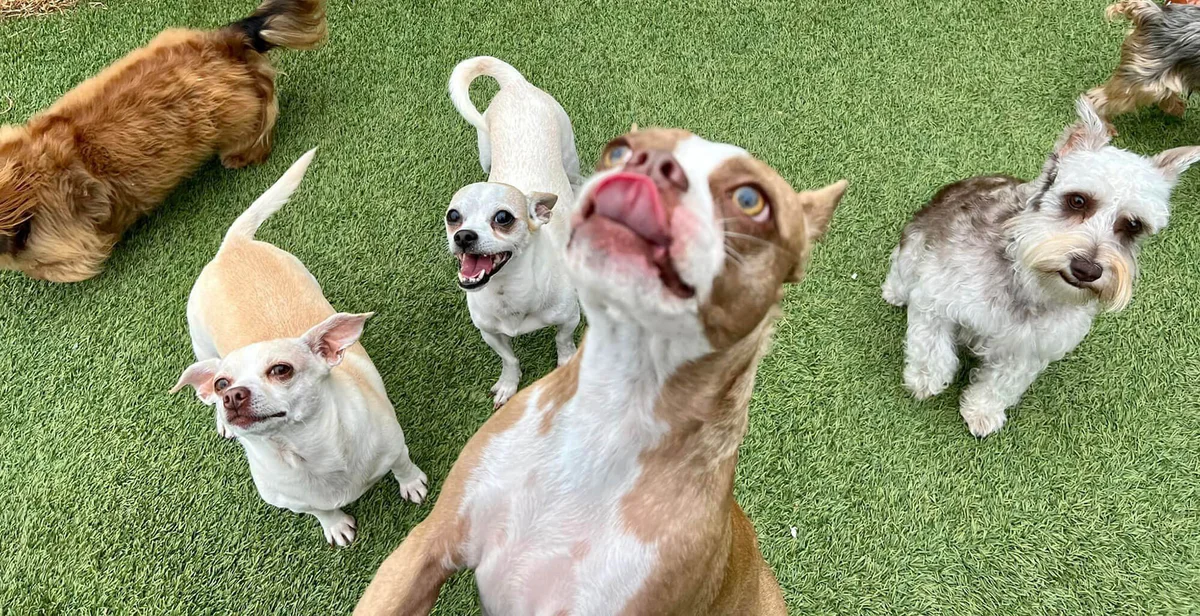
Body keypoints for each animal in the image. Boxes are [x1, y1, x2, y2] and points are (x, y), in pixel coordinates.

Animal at [171, 150, 427, 547]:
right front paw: (335, 525)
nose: (231, 396)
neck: (308, 452)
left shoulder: (395, 447)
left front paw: (412, 485)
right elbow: (320, 510)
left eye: (281, 370)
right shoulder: (293, 501)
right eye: (221, 383)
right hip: (202, 346)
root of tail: (233, 246)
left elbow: (404, 465)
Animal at [446, 56, 582, 408]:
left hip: (569, 153)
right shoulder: (489, 333)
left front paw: (565, 364)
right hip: (485, 152)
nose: (463, 236)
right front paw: (508, 384)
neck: (508, 294)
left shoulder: (569, 318)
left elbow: (563, 341)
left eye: (503, 217)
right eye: (453, 216)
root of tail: (515, 85)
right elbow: (509, 358)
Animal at [883, 97, 1200, 437]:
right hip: (911, 254)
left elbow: (1001, 384)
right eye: (1077, 200)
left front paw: (982, 411)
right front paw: (925, 380)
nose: (1087, 269)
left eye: (1133, 225)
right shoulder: (935, 298)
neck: (1025, 281)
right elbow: (931, 350)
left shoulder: (1029, 349)